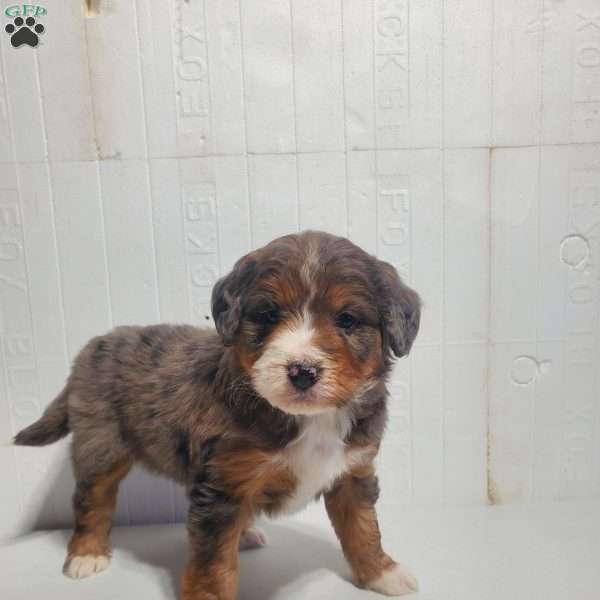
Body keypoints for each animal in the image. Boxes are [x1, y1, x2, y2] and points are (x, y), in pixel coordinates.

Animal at [14, 231, 422, 600]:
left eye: (347, 320)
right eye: (269, 314)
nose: (302, 371)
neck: (310, 420)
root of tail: (92, 346)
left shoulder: (353, 471)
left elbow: (363, 529)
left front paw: (382, 574)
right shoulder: (223, 487)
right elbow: (213, 564)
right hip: (100, 445)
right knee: (92, 498)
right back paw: (87, 554)